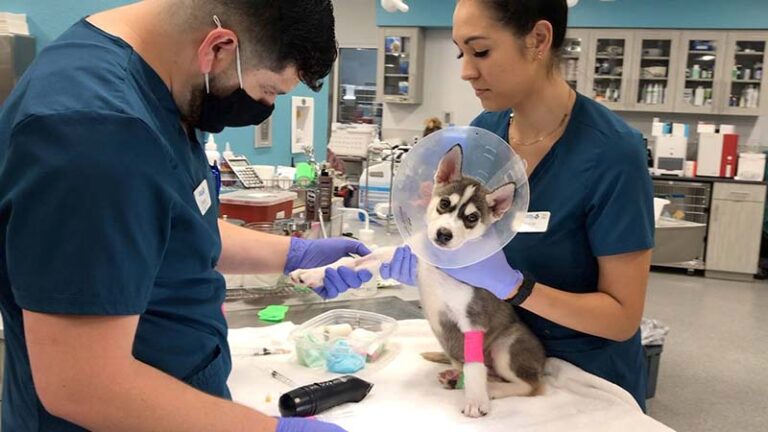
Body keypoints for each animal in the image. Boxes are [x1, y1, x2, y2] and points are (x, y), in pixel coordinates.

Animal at [288, 146, 544, 418]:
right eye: (444, 204)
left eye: (472, 218)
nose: (444, 234)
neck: (440, 260)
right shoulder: (397, 258)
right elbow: (349, 263)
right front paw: (312, 272)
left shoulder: (473, 319)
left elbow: (475, 366)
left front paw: (476, 399)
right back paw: (456, 378)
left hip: (507, 346)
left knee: (531, 386)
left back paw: (491, 389)